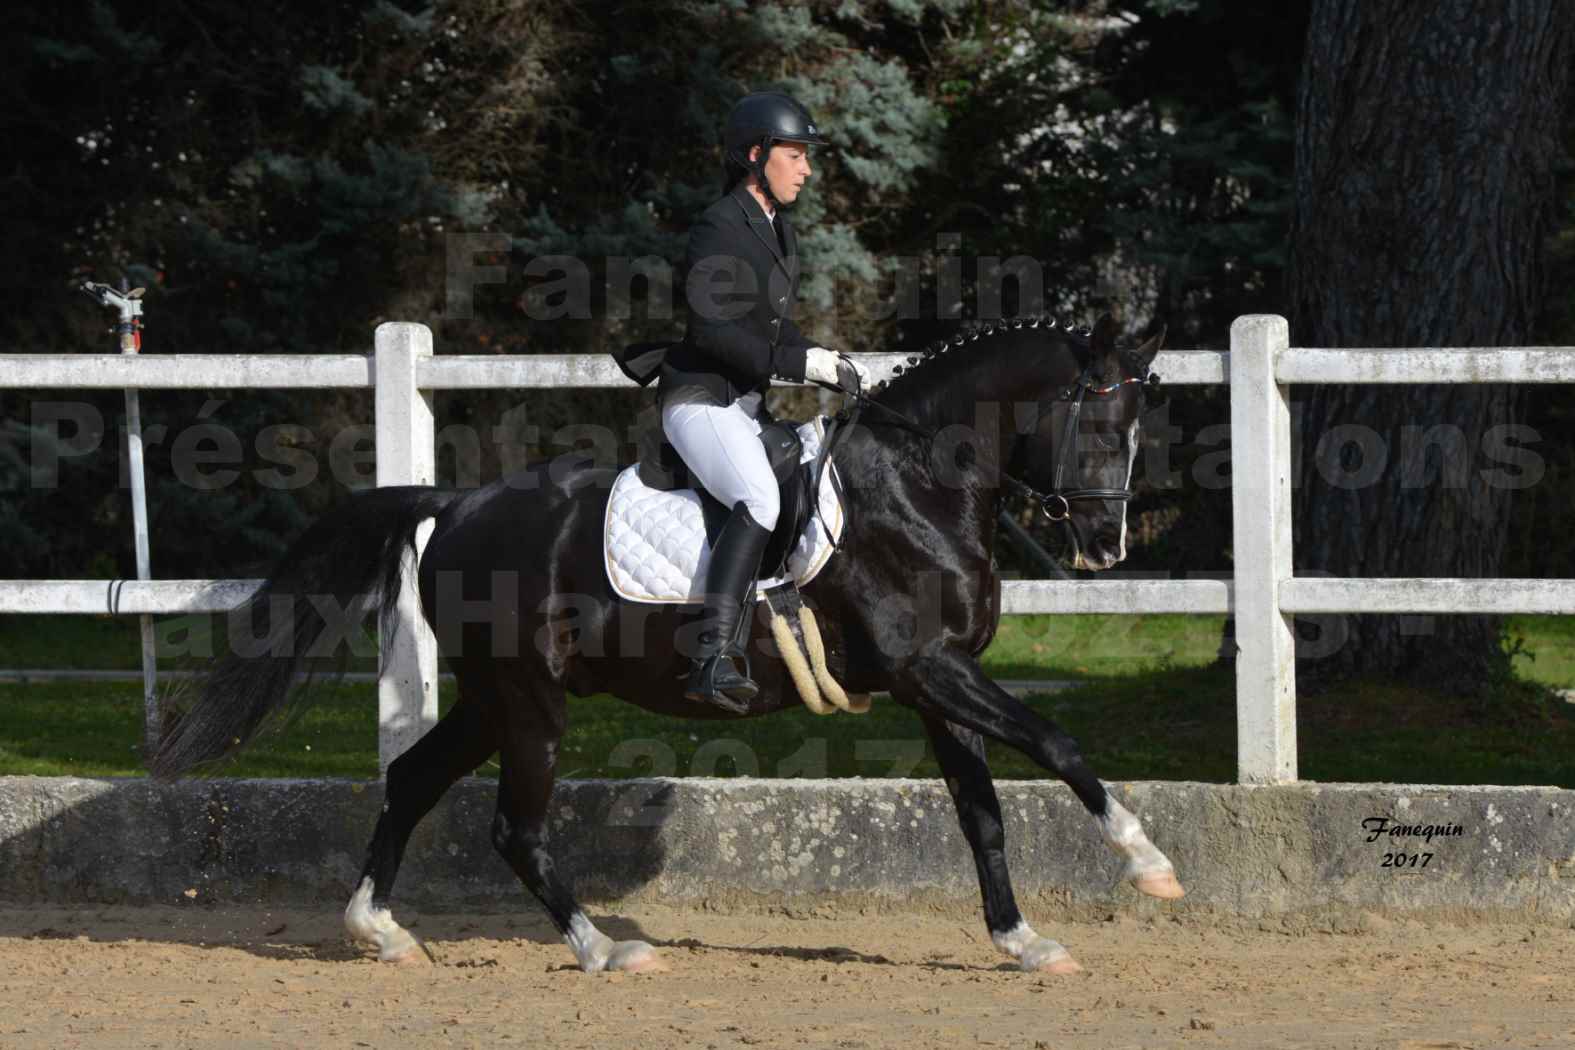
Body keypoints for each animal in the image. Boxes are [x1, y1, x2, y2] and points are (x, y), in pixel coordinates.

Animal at [153, 314, 1184, 976]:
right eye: (1098, 419)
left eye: (1138, 425)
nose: (1106, 547)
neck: (916, 479)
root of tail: (455, 502)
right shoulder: (929, 668)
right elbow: (1057, 744)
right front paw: (1147, 864)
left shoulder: (938, 682)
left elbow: (982, 814)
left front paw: (1021, 941)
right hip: (529, 702)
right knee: (513, 825)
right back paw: (605, 949)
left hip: (493, 698)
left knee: (411, 781)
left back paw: (382, 932)